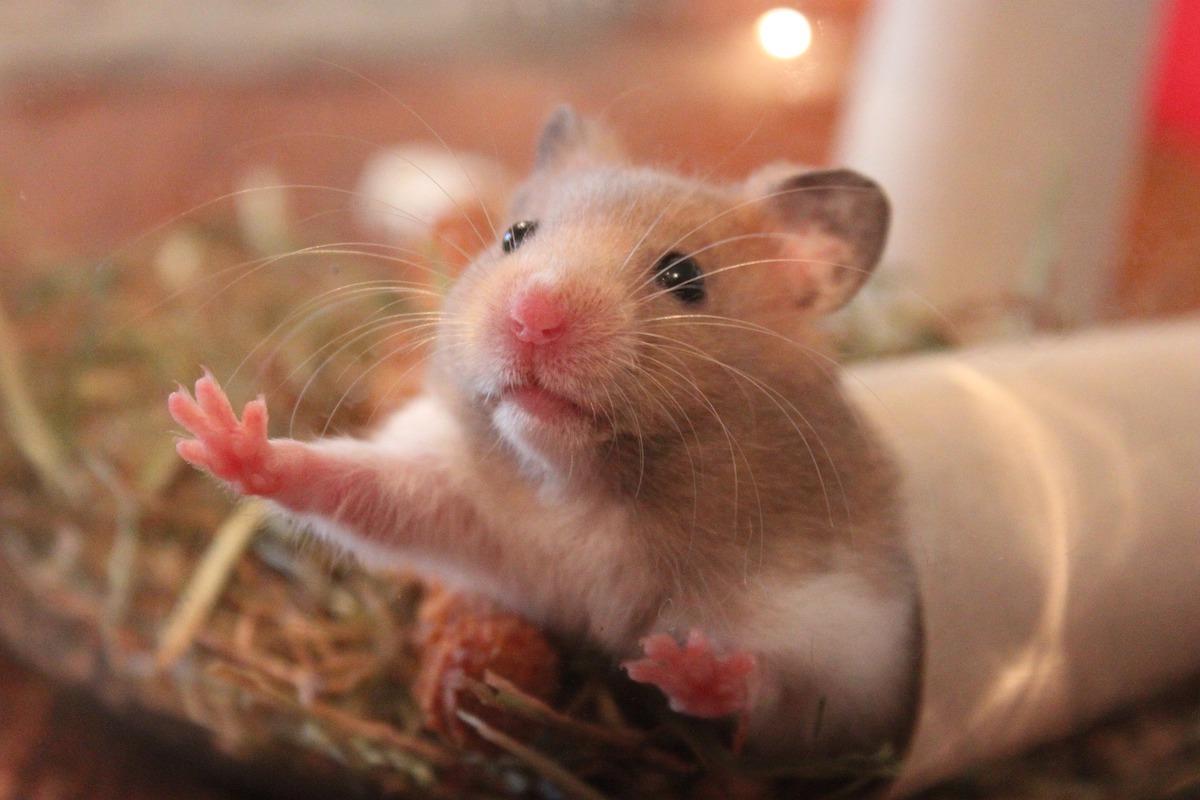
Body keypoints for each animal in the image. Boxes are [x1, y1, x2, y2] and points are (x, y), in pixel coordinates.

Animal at [168, 106, 919, 758]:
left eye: (685, 276)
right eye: (515, 235)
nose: (533, 314)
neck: (585, 490)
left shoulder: (847, 631)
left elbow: (783, 685)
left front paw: (683, 665)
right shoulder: (467, 507)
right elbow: (355, 485)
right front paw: (217, 429)